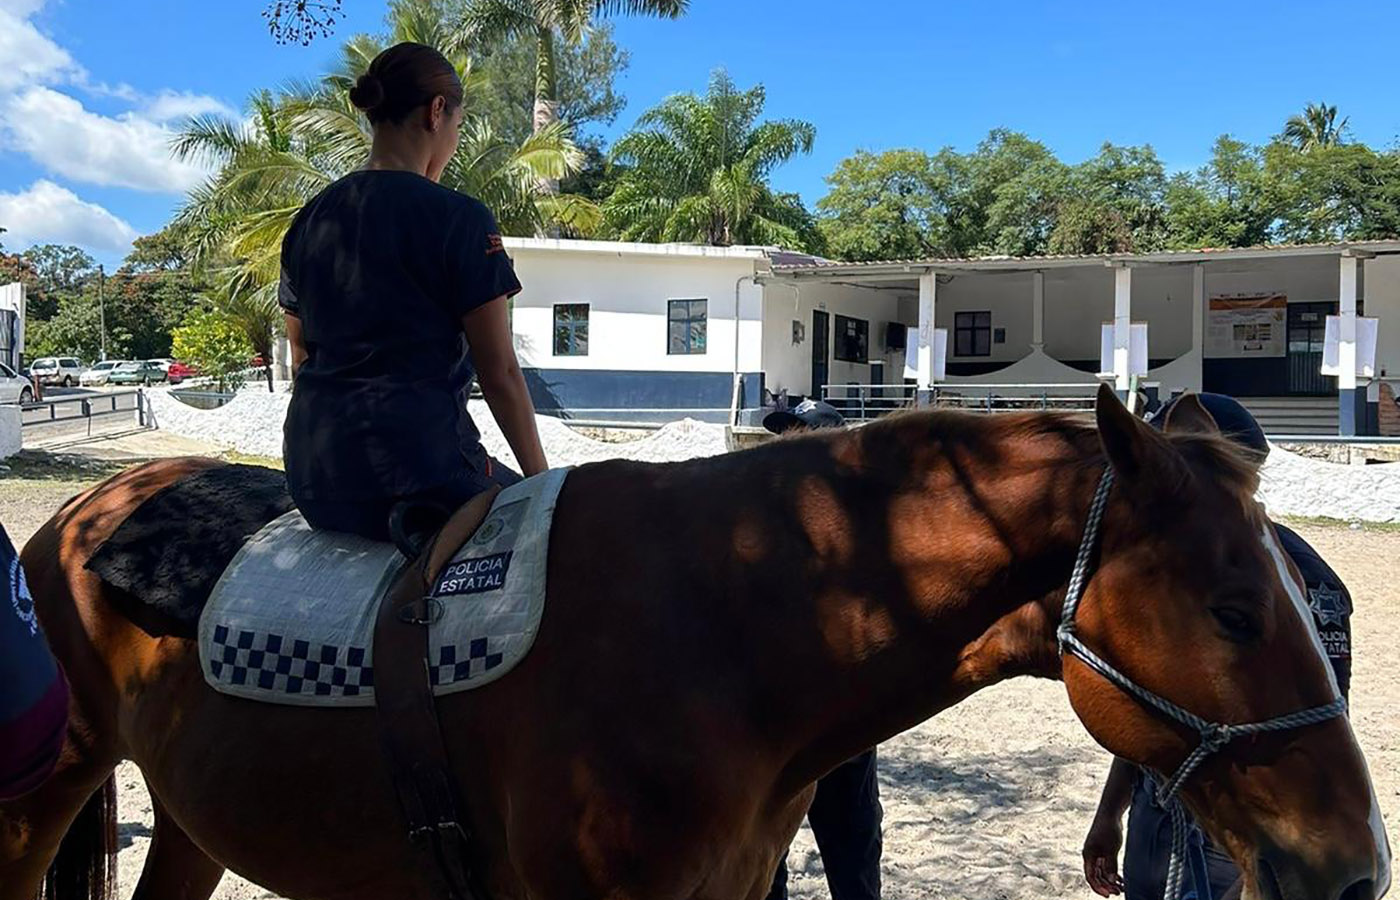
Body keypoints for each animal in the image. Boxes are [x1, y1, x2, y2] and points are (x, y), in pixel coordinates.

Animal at [0, 391, 1383, 900]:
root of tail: (84, 511)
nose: (1354, 862)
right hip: (48, 789)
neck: (725, 628)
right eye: (1234, 610)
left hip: (193, 815)